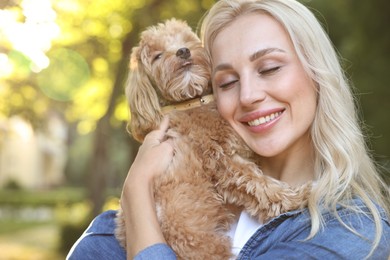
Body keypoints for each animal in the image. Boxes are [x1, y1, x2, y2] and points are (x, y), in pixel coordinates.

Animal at [114, 19, 310, 258]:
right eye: (157, 56)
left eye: (187, 39)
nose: (182, 51)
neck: (191, 102)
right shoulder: (222, 161)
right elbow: (259, 184)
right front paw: (297, 197)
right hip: (205, 245)